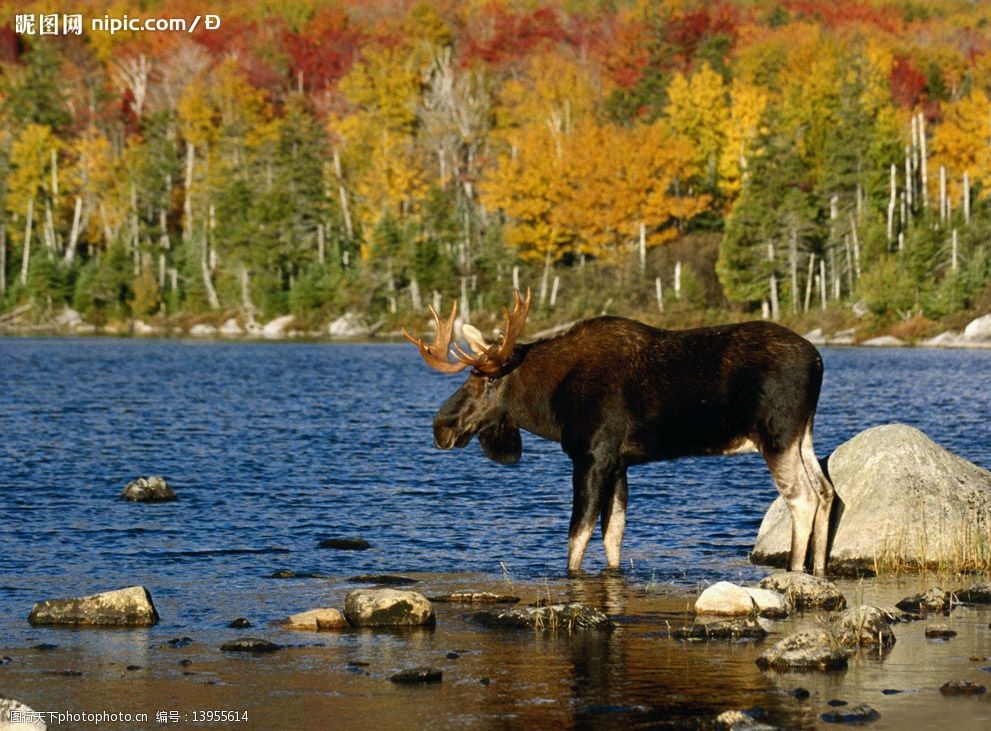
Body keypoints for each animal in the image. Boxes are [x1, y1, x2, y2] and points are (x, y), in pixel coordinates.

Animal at [404, 288, 836, 576]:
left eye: (487, 379)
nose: (441, 427)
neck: (550, 404)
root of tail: (819, 361)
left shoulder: (592, 455)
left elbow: (577, 535)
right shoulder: (619, 463)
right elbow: (614, 534)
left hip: (776, 436)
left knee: (802, 497)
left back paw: (796, 572)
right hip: (803, 435)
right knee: (827, 490)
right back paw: (818, 571)